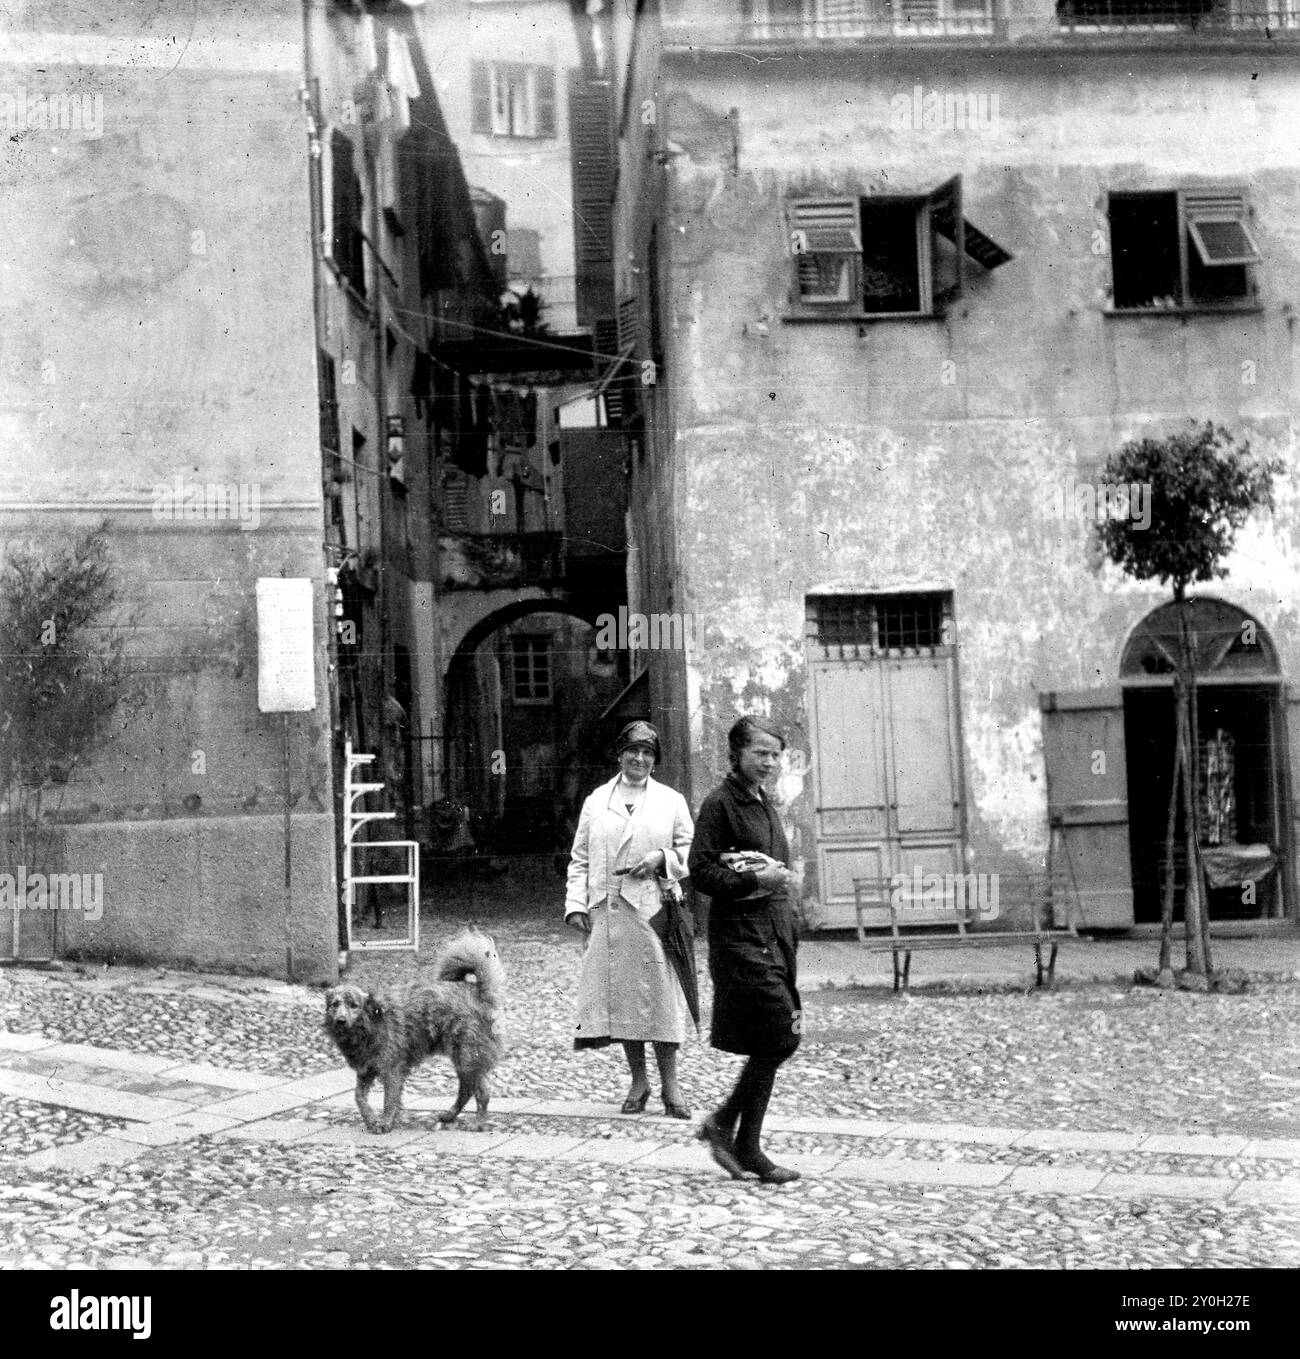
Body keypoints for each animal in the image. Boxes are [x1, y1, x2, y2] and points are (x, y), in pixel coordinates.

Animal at [323, 929, 502, 1130]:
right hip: (464, 1061)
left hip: (468, 1058)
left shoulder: (392, 1070)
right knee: (466, 1090)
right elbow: (359, 1098)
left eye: (354, 1005)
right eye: (335, 1004)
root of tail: (477, 992)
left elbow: (389, 1100)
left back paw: (478, 1122)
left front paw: (385, 1122)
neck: (370, 1026)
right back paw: (450, 1115)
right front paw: (370, 1119)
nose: (340, 1020)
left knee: (481, 1093)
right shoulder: (366, 1070)